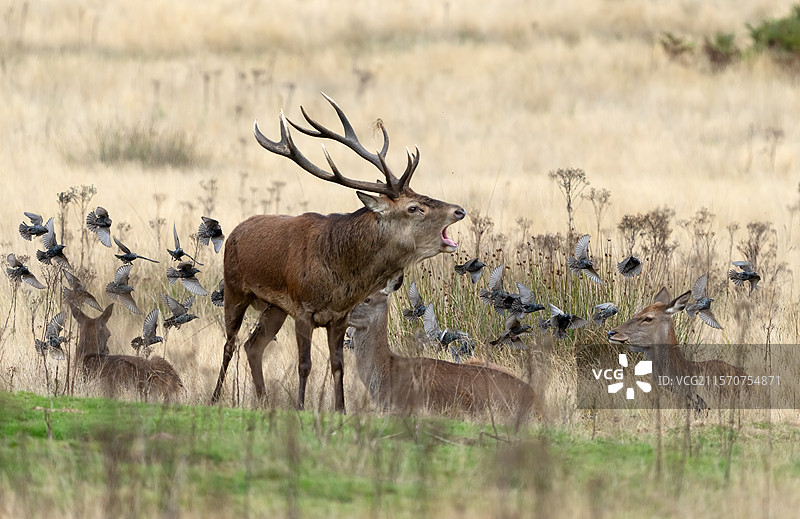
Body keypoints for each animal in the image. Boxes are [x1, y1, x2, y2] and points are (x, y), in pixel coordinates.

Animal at [211, 93, 466, 412]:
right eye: (414, 207)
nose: (459, 210)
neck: (338, 276)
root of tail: (235, 230)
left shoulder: (339, 316)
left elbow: (338, 365)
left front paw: (340, 409)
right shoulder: (303, 309)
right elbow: (304, 365)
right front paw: (300, 407)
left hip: (274, 307)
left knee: (253, 345)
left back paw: (264, 401)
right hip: (235, 288)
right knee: (230, 344)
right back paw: (215, 398)